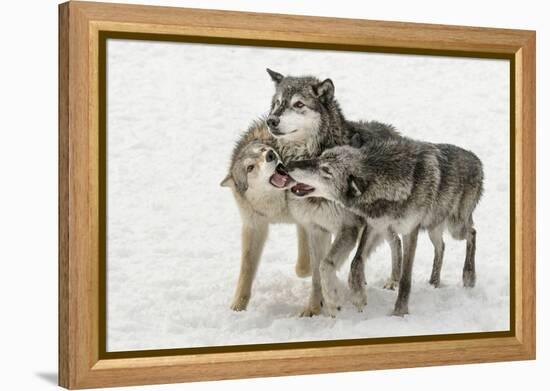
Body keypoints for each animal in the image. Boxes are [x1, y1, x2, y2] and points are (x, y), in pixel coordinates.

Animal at [286, 135, 486, 316]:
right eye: (321, 156)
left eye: (326, 170)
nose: (288, 166)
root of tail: (476, 159)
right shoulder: (374, 225)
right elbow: (356, 262)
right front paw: (358, 297)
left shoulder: (410, 232)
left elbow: (406, 279)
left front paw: (399, 312)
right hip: (428, 227)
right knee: (440, 246)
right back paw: (433, 282)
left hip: (455, 227)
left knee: (472, 232)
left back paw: (468, 276)